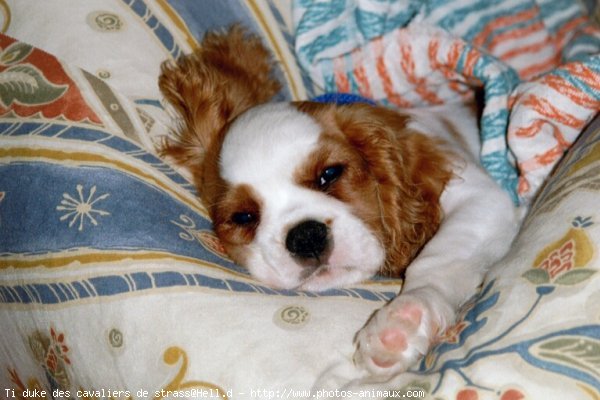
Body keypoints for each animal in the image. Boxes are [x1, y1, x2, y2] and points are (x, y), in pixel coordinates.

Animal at [159, 27, 520, 378]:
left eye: (329, 174)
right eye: (244, 217)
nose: (306, 237)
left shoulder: (483, 198)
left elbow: (438, 257)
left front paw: (404, 318)